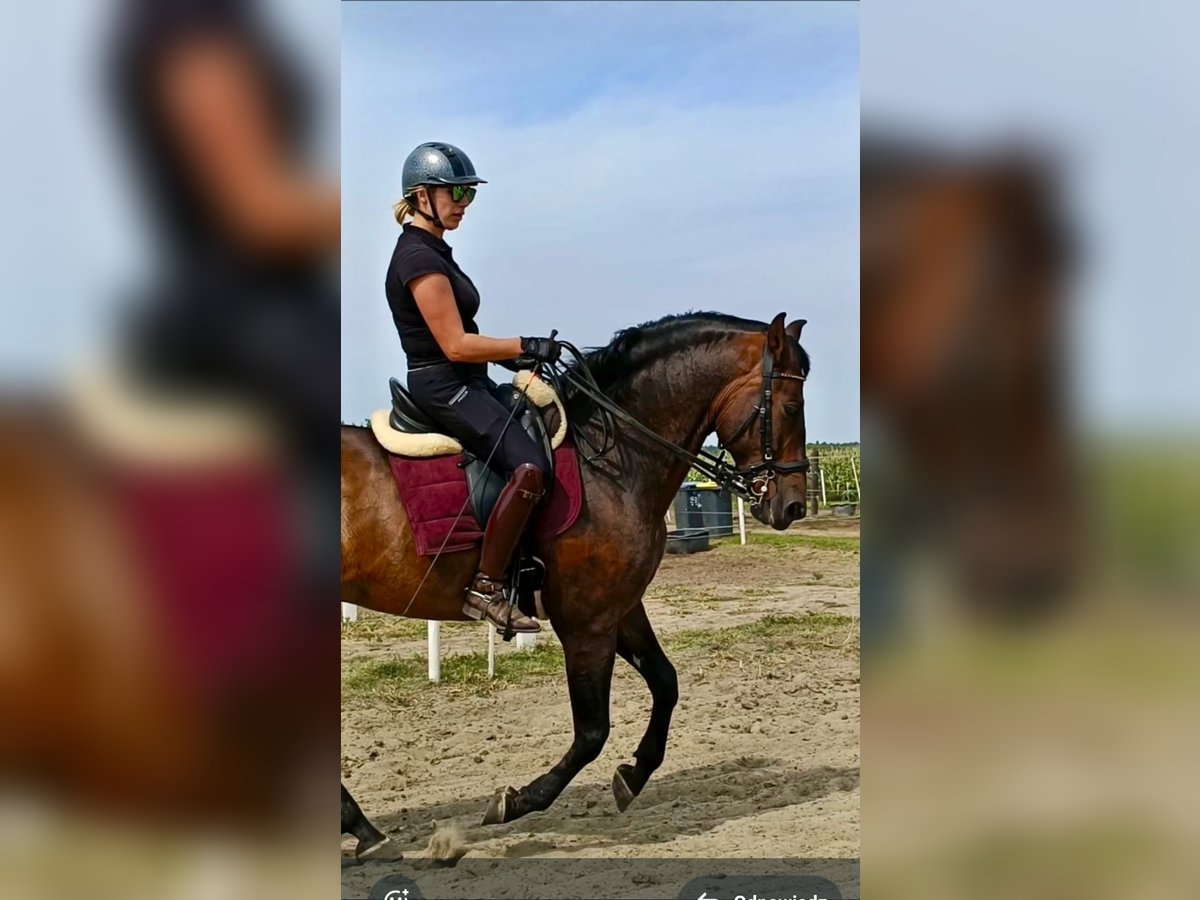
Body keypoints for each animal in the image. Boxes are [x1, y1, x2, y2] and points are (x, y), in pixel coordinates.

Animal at [340, 311, 811, 839]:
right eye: (791, 406)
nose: (793, 506)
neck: (613, 460)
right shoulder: (587, 622)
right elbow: (592, 731)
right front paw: (518, 800)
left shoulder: (619, 608)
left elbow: (666, 682)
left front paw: (634, 774)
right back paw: (361, 829)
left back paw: (362, 829)